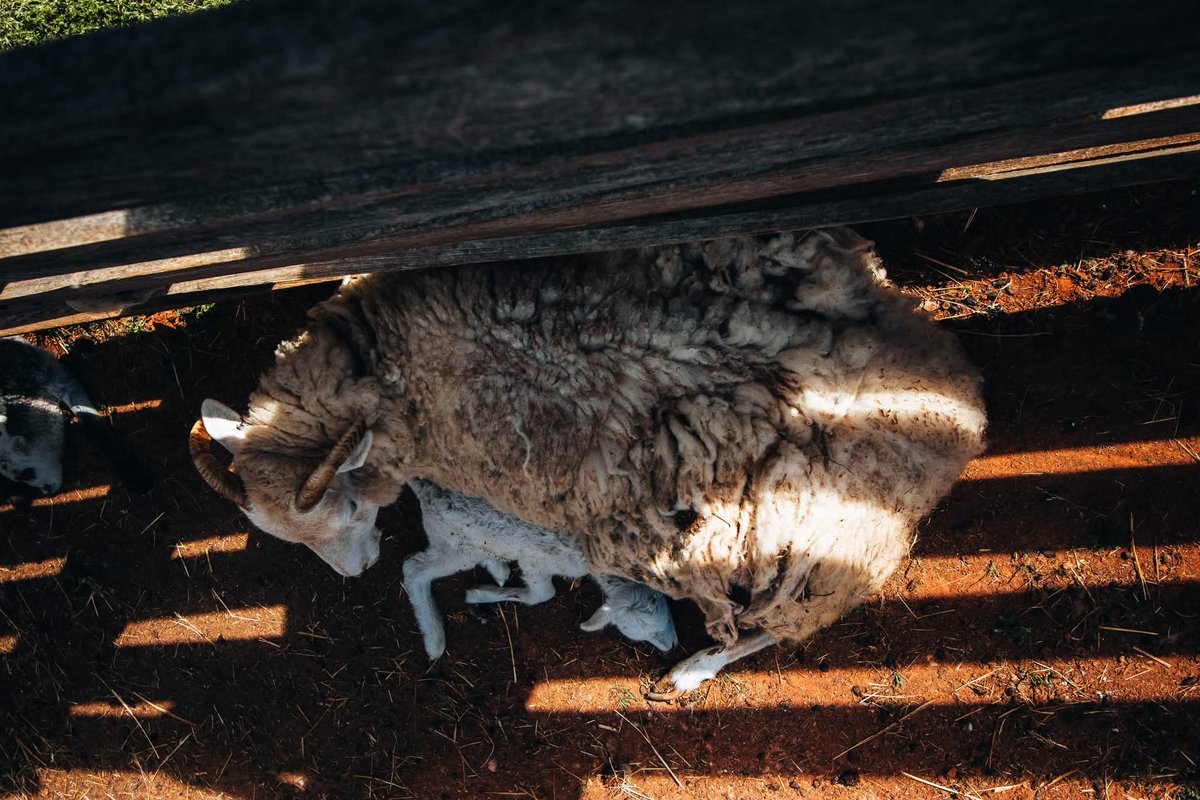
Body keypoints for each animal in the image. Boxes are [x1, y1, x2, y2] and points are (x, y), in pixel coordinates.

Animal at [1, 337, 150, 506]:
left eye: (27, 473)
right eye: (19, 479)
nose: (46, 492)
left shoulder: (62, 379)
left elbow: (96, 428)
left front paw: (136, 475)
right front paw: (16, 496)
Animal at [403, 477, 677, 659]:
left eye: (656, 600)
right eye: (628, 630)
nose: (672, 645)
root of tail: (422, 482)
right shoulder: (535, 563)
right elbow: (544, 594)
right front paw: (478, 594)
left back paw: (499, 569)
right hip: (456, 544)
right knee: (413, 569)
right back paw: (434, 640)